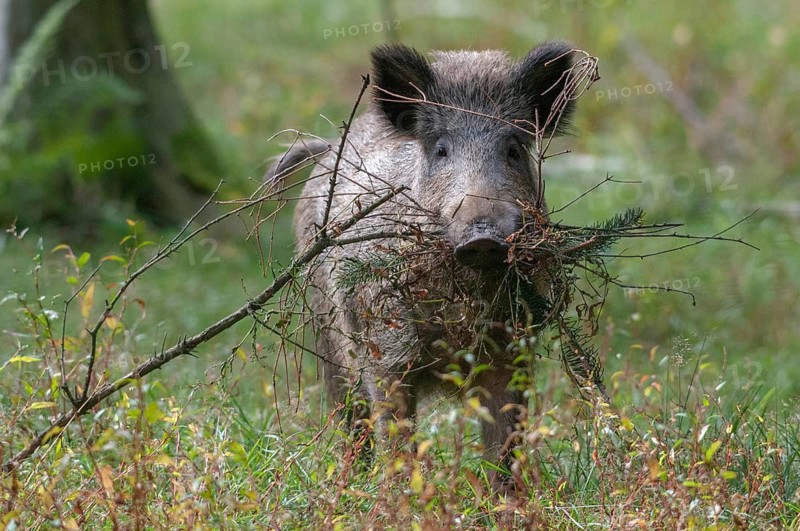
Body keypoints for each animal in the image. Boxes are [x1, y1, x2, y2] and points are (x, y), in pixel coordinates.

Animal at [267, 42, 579, 482]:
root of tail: (327, 148)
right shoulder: (385, 350)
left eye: (513, 148)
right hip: (326, 331)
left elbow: (504, 446)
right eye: (441, 149)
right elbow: (397, 438)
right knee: (351, 421)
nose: (483, 236)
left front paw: (507, 498)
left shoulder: (513, 349)